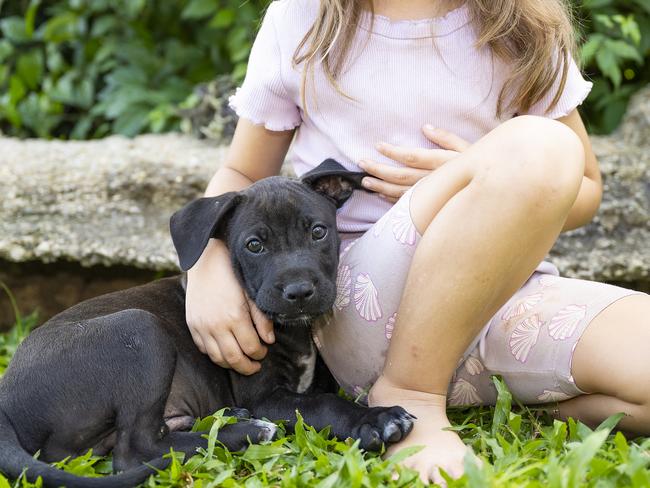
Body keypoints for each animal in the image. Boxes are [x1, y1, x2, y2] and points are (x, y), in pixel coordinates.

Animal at [0, 163, 412, 488]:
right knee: (134, 450)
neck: (295, 329)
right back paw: (250, 430)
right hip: (139, 328)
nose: (298, 292)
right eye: (254, 245)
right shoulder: (264, 397)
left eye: (318, 232)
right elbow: (324, 404)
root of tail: (4, 400)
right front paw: (377, 419)